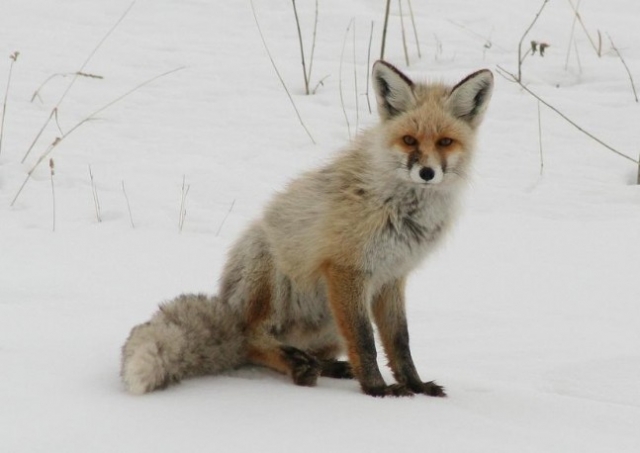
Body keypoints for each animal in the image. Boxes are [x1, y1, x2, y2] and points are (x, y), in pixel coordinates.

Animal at [121, 60, 496, 396]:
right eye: (409, 140)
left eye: (445, 142)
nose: (427, 173)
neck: (403, 208)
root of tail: (228, 306)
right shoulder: (347, 269)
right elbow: (366, 341)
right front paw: (377, 389)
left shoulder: (391, 277)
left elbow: (399, 341)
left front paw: (415, 385)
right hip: (272, 271)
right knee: (252, 339)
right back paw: (297, 366)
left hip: (330, 320)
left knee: (300, 350)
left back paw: (322, 365)